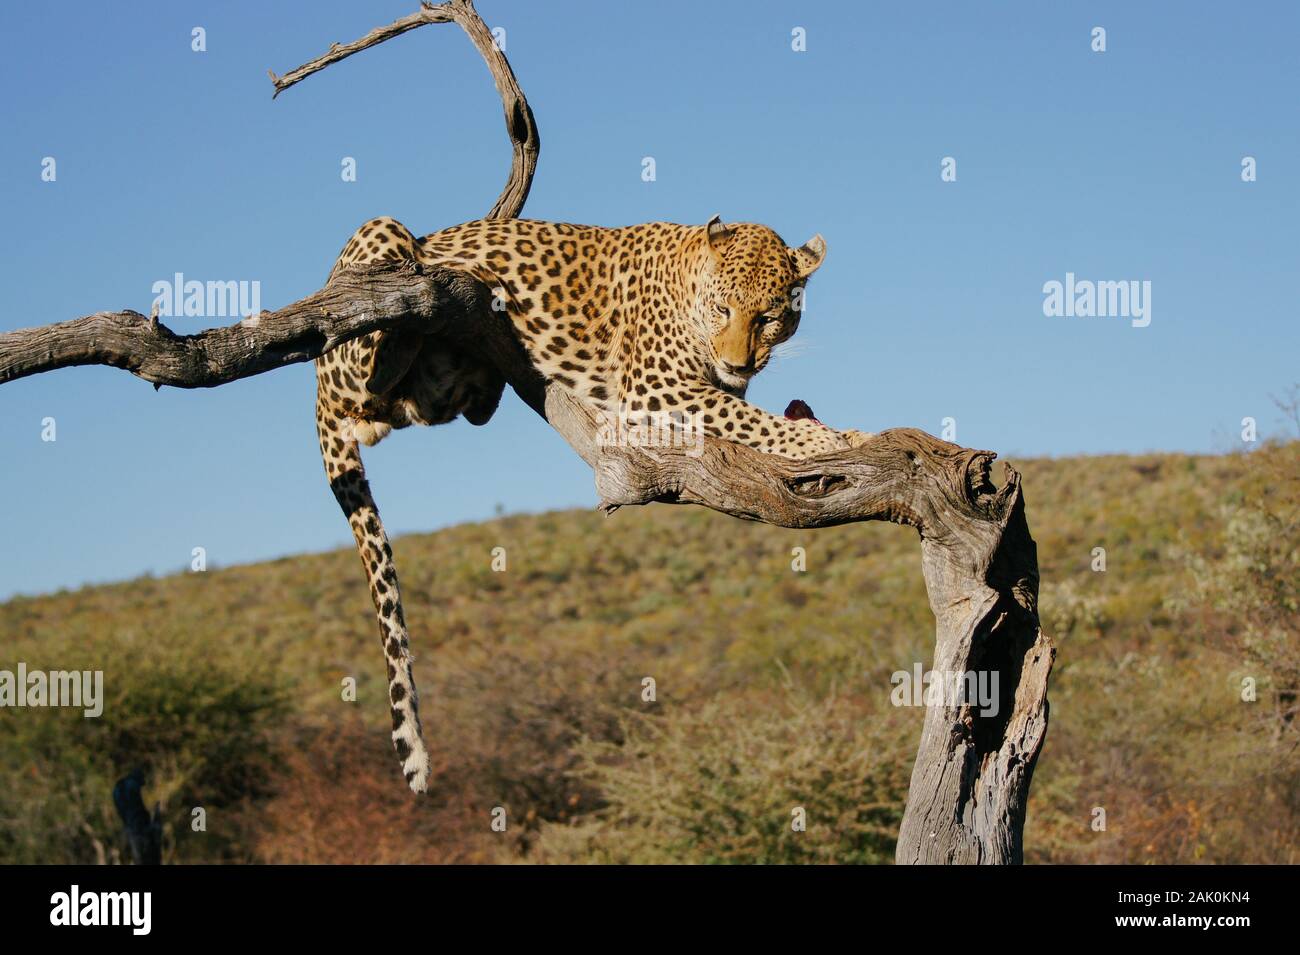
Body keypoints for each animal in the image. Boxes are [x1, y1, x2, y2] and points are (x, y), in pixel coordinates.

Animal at [314, 214, 870, 792]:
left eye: (768, 317)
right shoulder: (660, 389)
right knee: (373, 369)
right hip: (376, 247)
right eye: (724, 309)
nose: (738, 362)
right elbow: (756, 422)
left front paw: (831, 432)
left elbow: (751, 418)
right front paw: (831, 440)